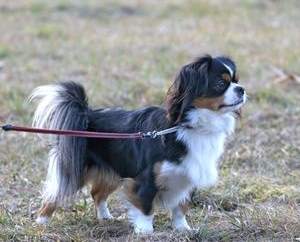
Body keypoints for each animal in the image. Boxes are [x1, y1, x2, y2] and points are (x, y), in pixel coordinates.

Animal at [30, 54, 246, 233]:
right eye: (220, 83)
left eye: (236, 81)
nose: (242, 89)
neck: (190, 124)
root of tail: (86, 114)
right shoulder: (146, 178)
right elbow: (146, 207)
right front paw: (145, 232)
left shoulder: (189, 176)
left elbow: (181, 207)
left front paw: (182, 229)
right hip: (75, 169)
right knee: (54, 195)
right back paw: (42, 222)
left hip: (113, 171)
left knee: (97, 193)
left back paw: (105, 217)